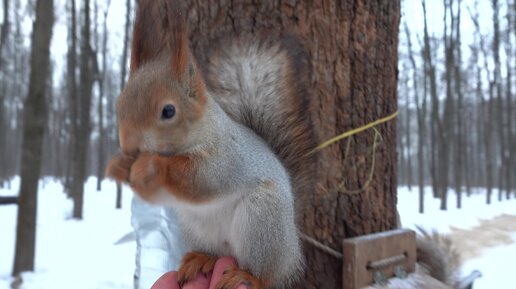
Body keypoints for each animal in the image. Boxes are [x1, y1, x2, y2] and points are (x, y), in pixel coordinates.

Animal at [105, 1, 314, 286]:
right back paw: (203, 259)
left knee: (266, 275)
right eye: (119, 104)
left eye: (168, 111)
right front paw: (116, 166)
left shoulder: (226, 156)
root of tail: (292, 247)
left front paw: (151, 166)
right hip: (197, 228)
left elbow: (202, 179)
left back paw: (246, 275)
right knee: (219, 253)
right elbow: (159, 195)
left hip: (263, 220)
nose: (129, 148)